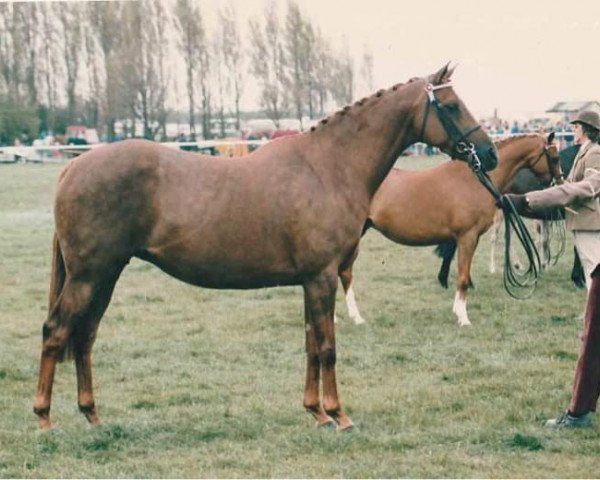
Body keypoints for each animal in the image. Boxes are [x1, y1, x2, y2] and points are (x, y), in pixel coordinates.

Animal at [35, 64, 500, 432]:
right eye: (451, 106)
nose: (489, 154)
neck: (328, 166)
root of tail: (73, 166)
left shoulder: (311, 280)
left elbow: (311, 342)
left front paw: (316, 412)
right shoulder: (322, 277)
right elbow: (328, 347)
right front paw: (339, 415)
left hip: (105, 275)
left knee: (85, 336)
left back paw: (92, 415)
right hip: (89, 275)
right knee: (57, 331)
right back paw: (44, 419)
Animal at [340, 131, 560, 326]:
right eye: (554, 157)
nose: (556, 181)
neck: (473, 180)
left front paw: (457, 309)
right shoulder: (467, 237)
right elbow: (462, 277)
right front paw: (463, 317)